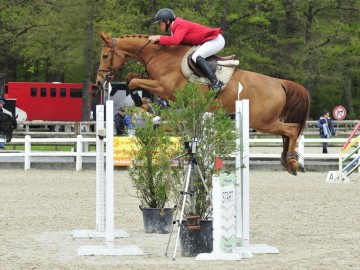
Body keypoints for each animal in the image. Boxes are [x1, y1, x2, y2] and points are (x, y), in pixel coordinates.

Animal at [97, 32, 310, 175]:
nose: (100, 81)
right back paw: (288, 162)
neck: (158, 55)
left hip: (262, 122)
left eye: (105, 56)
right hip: (264, 121)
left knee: (292, 129)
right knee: (289, 132)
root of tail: (279, 82)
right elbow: (132, 79)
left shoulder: (163, 87)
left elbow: (133, 81)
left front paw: (143, 102)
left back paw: (292, 163)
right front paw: (145, 103)